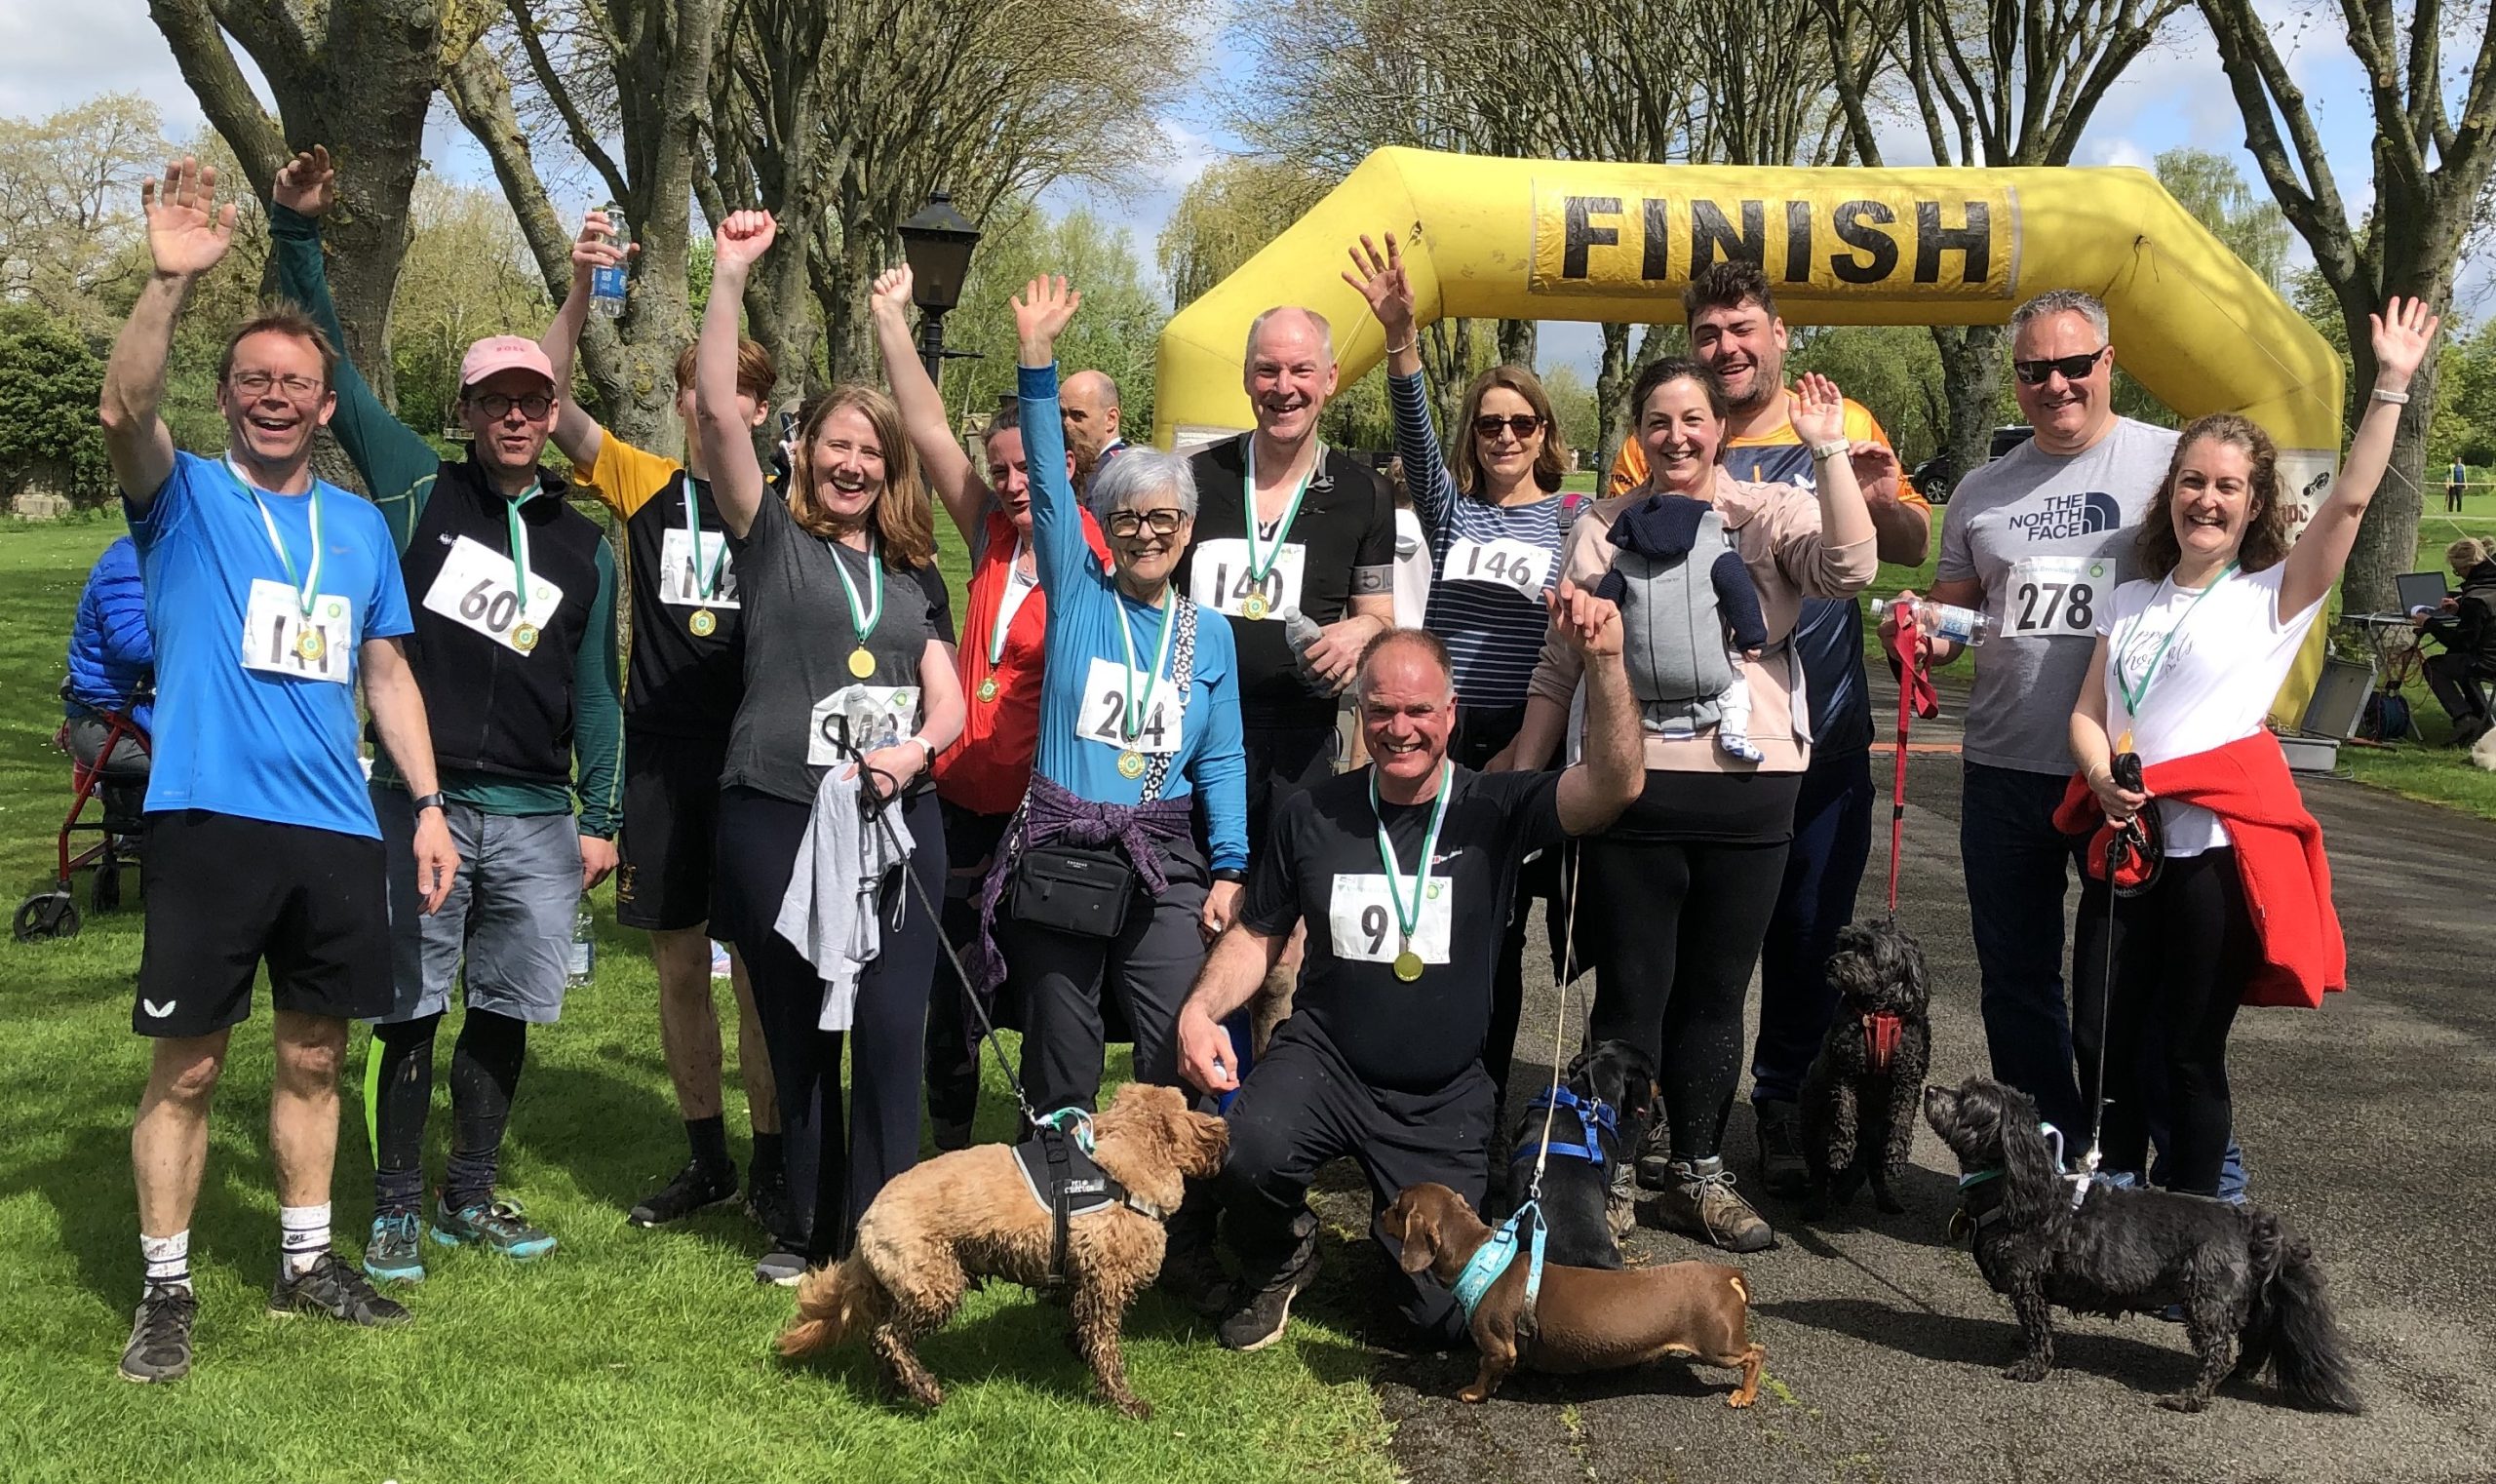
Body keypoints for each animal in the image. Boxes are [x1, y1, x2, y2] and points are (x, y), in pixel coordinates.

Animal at [768, 1087, 1218, 1426]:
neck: (1117, 1171)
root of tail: (866, 1224)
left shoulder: (1082, 1282)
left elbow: (1081, 1326)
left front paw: (1076, 1348)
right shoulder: (1106, 1285)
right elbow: (1106, 1350)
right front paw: (1124, 1401)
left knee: (880, 1341)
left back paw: (897, 1388)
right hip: (934, 1284)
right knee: (888, 1336)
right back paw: (925, 1389)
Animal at [1797, 922, 1927, 1227]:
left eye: (1868, 951)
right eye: (1845, 943)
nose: (1832, 962)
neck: (1879, 1013)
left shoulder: (1908, 1079)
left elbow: (1902, 1119)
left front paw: (1897, 1156)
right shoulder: (1846, 1071)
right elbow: (1844, 1113)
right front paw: (1841, 1149)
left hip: (1874, 1140)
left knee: (1872, 1171)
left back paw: (1882, 1197)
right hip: (1812, 1127)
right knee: (1820, 1173)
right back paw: (1817, 1203)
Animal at [1917, 1072, 2365, 1406]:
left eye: (1966, 1100)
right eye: (1961, 1087)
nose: (1930, 1089)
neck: (2017, 1188)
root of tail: (2247, 1221)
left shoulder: (2029, 1283)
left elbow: (2039, 1329)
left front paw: (2032, 1366)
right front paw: (2021, 1343)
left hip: (2205, 1298)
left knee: (2217, 1353)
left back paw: (2191, 1397)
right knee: (2252, 1343)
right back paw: (2238, 1376)